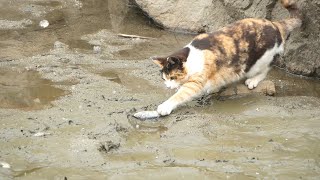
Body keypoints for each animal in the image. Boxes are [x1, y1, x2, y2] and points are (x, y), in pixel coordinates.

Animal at [152, 0, 302, 115]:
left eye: (172, 77)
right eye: (164, 78)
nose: (168, 86)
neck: (192, 59)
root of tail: (276, 24)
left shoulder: (196, 82)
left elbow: (181, 94)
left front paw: (165, 106)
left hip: (259, 60)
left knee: (265, 70)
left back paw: (253, 80)